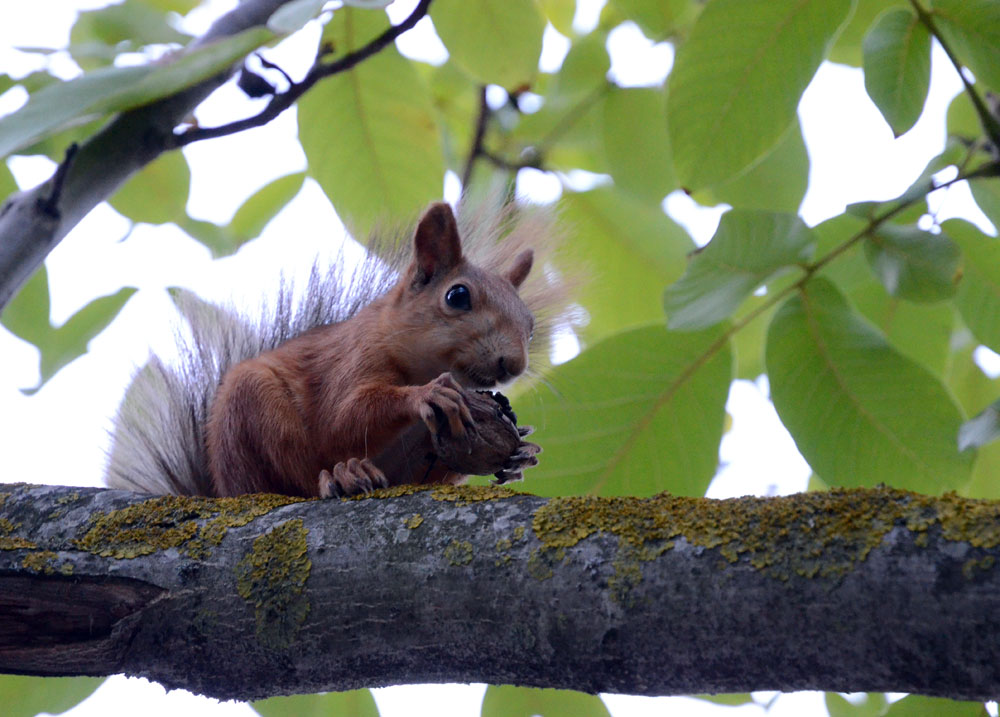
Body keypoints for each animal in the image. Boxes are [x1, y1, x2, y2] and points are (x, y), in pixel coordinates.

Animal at [107, 196, 572, 498]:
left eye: (530, 325)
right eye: (457, 296)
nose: (514, 363)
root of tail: (222, 491)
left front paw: (519, 450)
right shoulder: (352, 358)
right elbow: (344, 417)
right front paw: (427, 394)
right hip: (252, 409)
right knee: (291, 480)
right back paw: (340, 476)